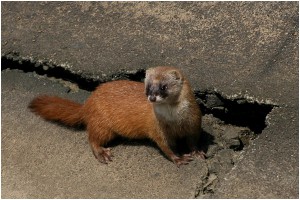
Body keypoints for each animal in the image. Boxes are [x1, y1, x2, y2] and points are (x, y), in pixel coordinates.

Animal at [29, 66, 204, 166]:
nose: (152, 97)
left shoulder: (194, 124)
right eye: (147, 87)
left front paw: (197, 153)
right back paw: (102, 153)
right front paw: (179, 159)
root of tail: (88, 103)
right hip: (102, 126)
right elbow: (166, 147)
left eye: (163, 86)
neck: (176, 120)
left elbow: (193, 141)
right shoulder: (158, 130)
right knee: (92, 138)